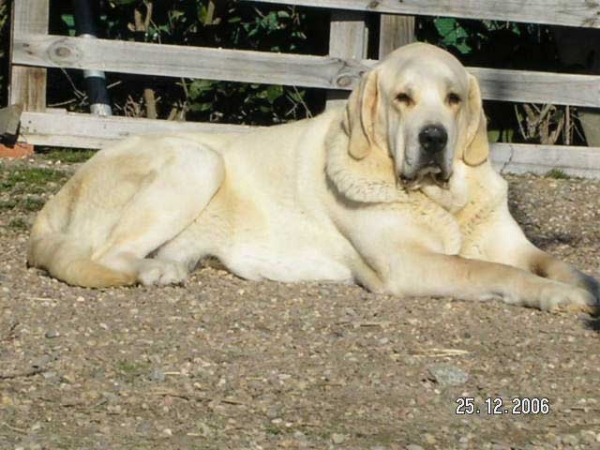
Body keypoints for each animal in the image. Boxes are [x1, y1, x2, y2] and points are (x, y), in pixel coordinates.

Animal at [29, 44, 600, 312]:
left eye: (454, 98)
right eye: (403, 98)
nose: (435, 137)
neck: (443, 198)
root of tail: (51, 208)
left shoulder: (515, 244)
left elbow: (556, 264)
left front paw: (579, 286)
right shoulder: (410, 265)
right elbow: (494, 272)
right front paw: (554, 297)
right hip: (196, 160)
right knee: (105, 256)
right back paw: (153, 273)